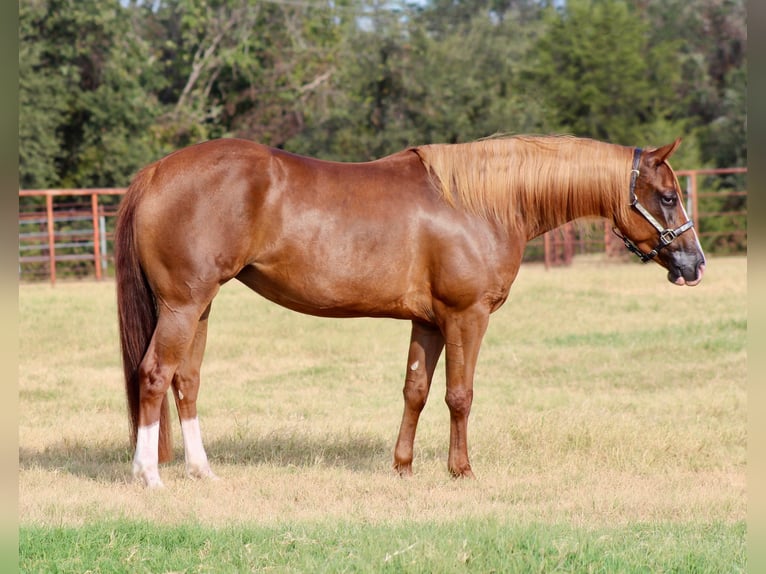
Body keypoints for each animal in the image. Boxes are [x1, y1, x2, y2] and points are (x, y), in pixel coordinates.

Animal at [114, 135, 705, 488]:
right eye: (668, 196)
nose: (694, 263)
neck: (481, 203)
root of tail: (157, 171)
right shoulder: (467, 316)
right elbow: (460, 396)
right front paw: (461, 470)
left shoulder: (428, 321)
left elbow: (416, 390)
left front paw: (402, 466)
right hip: (183, 306)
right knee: (154, 375)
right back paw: (149, 474)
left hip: (201, 308)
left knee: (186, 381)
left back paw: (203, 471)